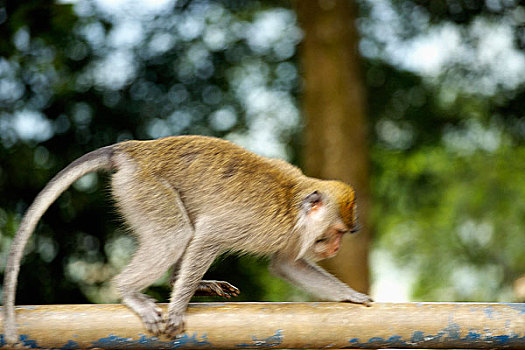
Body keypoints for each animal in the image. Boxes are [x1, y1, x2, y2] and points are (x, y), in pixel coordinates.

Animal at [2, 135, 370, 344]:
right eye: (336, 233)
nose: (336, 247)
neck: (293, 205)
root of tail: (134, 150)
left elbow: (287, 265)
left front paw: (351, 296)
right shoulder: (260, 222)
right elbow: (208, 235)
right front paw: (177, 309)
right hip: (144, 188)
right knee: (176, 234)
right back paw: (129, 290)